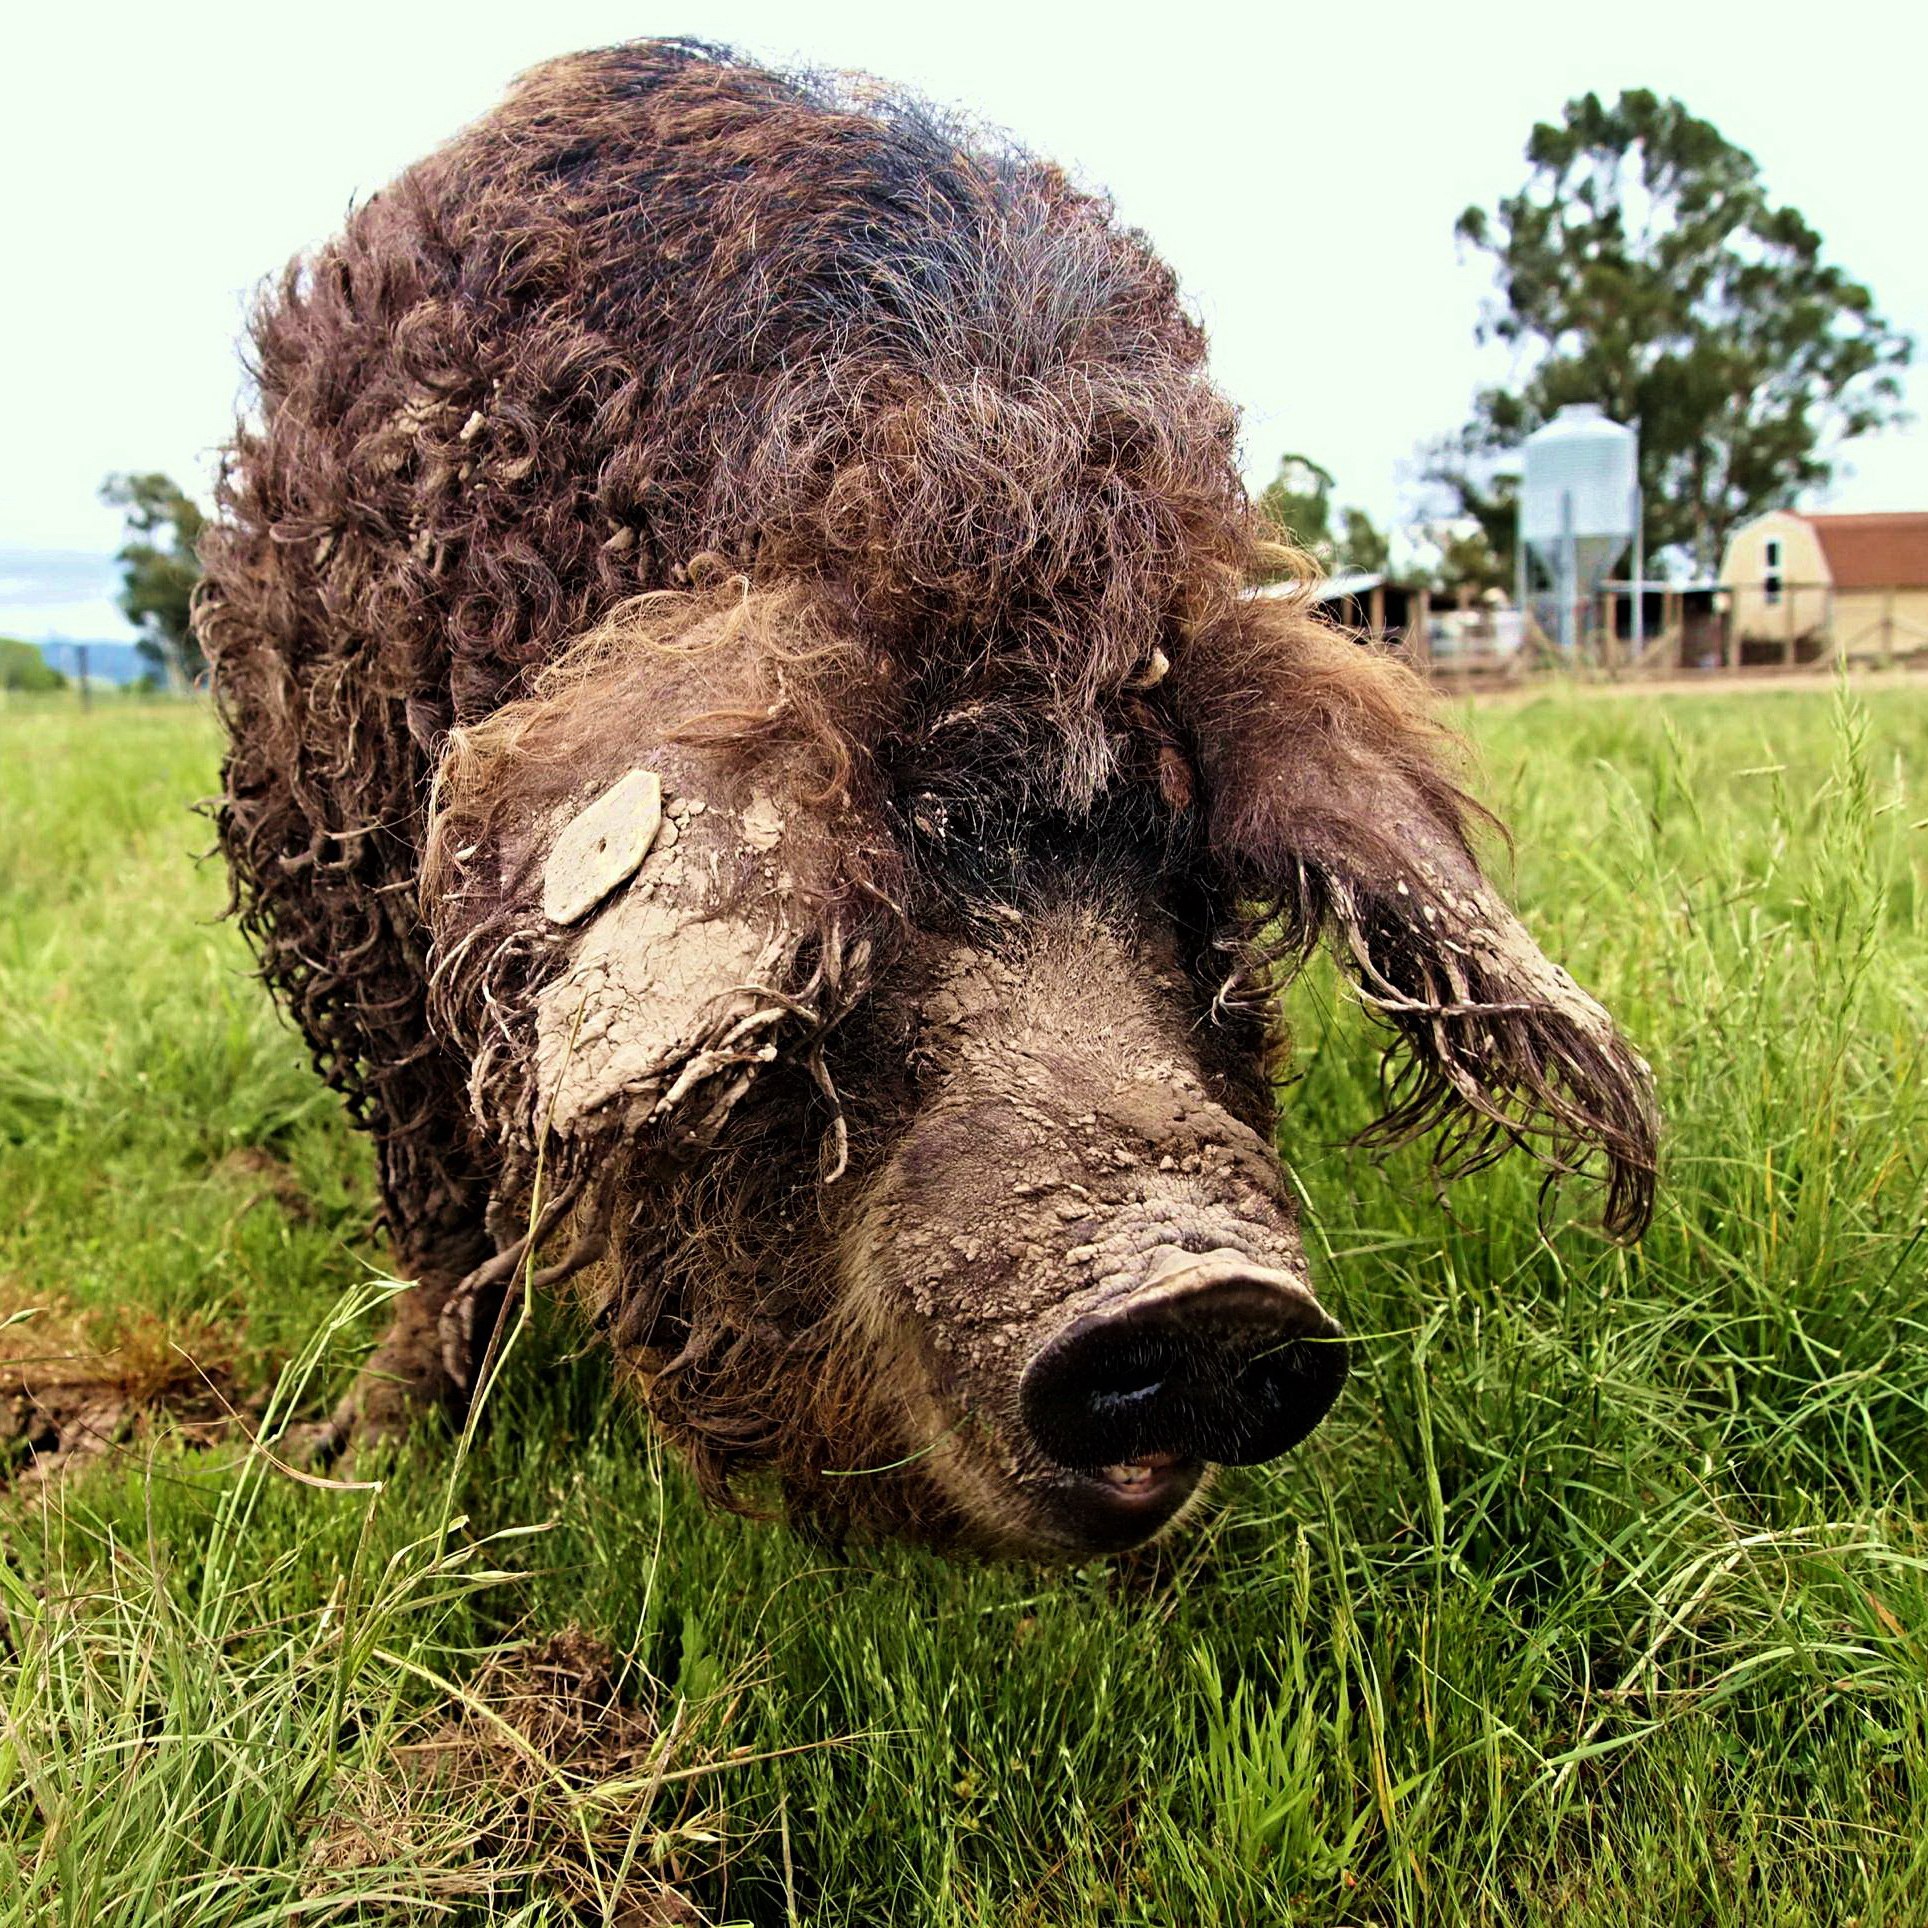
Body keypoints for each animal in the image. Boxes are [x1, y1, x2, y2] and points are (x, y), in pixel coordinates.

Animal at [199, 37, 1658, 1557]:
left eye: (1195, 880)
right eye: (877, 891)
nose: (1200, 1295)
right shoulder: (346, 900)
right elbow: (440, 1201)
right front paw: (351, 1455)